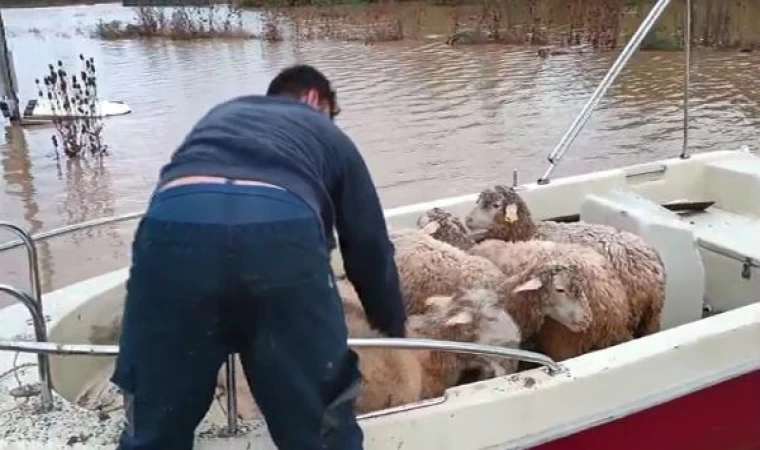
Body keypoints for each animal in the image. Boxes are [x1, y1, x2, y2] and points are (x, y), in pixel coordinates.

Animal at [466, 185, 668, 338]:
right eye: (478, 202)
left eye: (495, 205)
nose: (468, 219)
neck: (530, 232)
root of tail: (652, 261)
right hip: (650, 317)